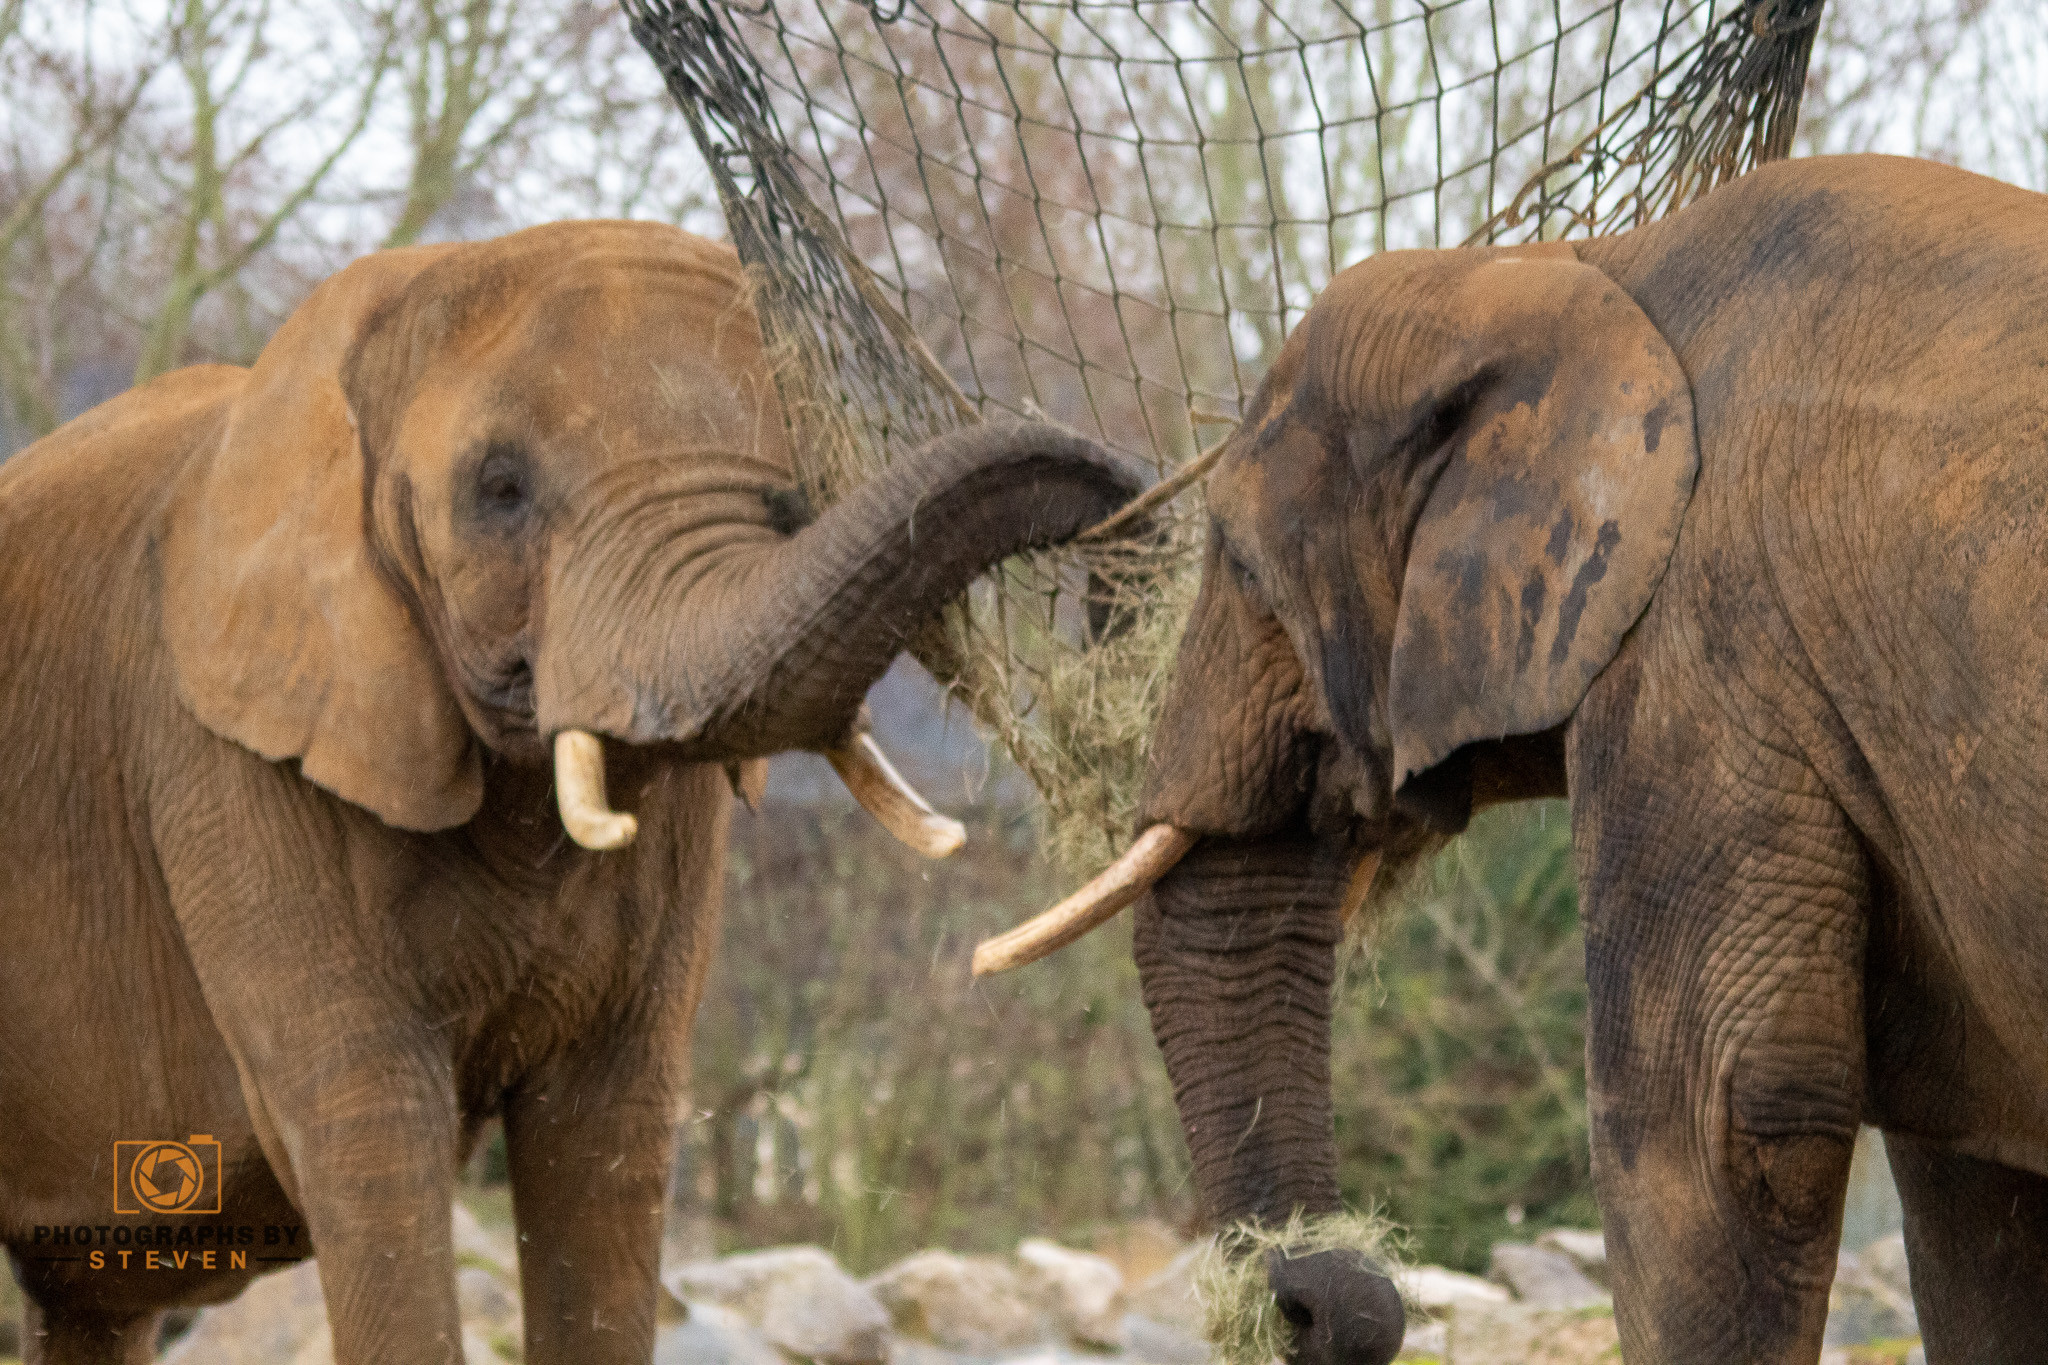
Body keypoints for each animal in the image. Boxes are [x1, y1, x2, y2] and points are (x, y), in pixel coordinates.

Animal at [0, 219, 1142, 1364]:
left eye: (802, 475)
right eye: (500, 488)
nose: (1116, 531)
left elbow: (602, 1135)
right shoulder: (225, 758)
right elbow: (372, 1130)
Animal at [975, 154, 2048, 1362]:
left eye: (1244, 570)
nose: (1314, 1299)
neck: (1567, 269)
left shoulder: (1698, 653)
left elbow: (1716, 1122)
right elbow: (1974, 1187)